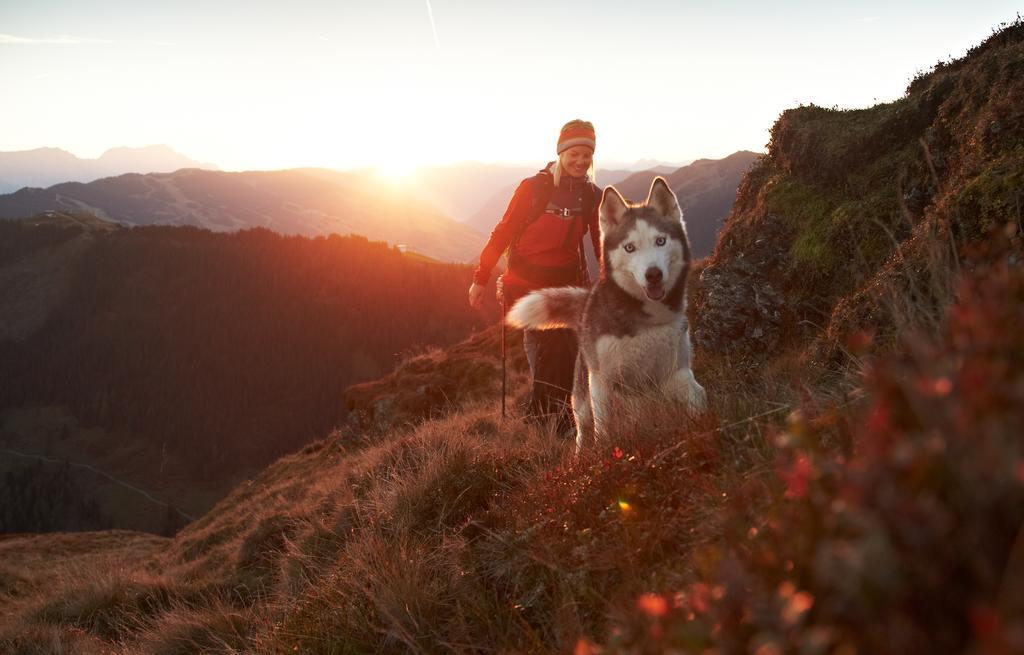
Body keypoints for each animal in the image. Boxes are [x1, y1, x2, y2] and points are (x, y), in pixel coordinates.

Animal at [507, 178, 708, 450]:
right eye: (629, 247)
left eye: (661, 241)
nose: (653, 274)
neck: (646, 319)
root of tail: (586, 303)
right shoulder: (601, 380)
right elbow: (604, 426)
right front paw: (604, 451)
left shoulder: (675, 370)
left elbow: (698, 395)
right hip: (582, 394)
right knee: (583, 428)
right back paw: (581, 453)